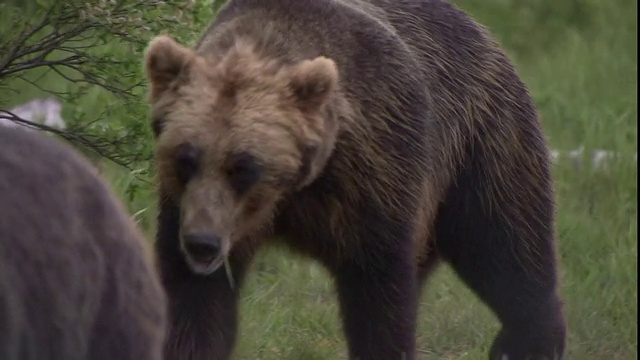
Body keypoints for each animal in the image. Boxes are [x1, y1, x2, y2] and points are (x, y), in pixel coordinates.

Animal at [144, 0, 564, 360]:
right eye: (185, 159)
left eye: (244, 166)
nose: (202, 243)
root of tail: (482, 32)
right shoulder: (191, 211)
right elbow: (196, 304)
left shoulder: (377, 174)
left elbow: (379, 295)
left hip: (481, 142)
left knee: (504, 244)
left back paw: (528, 341)